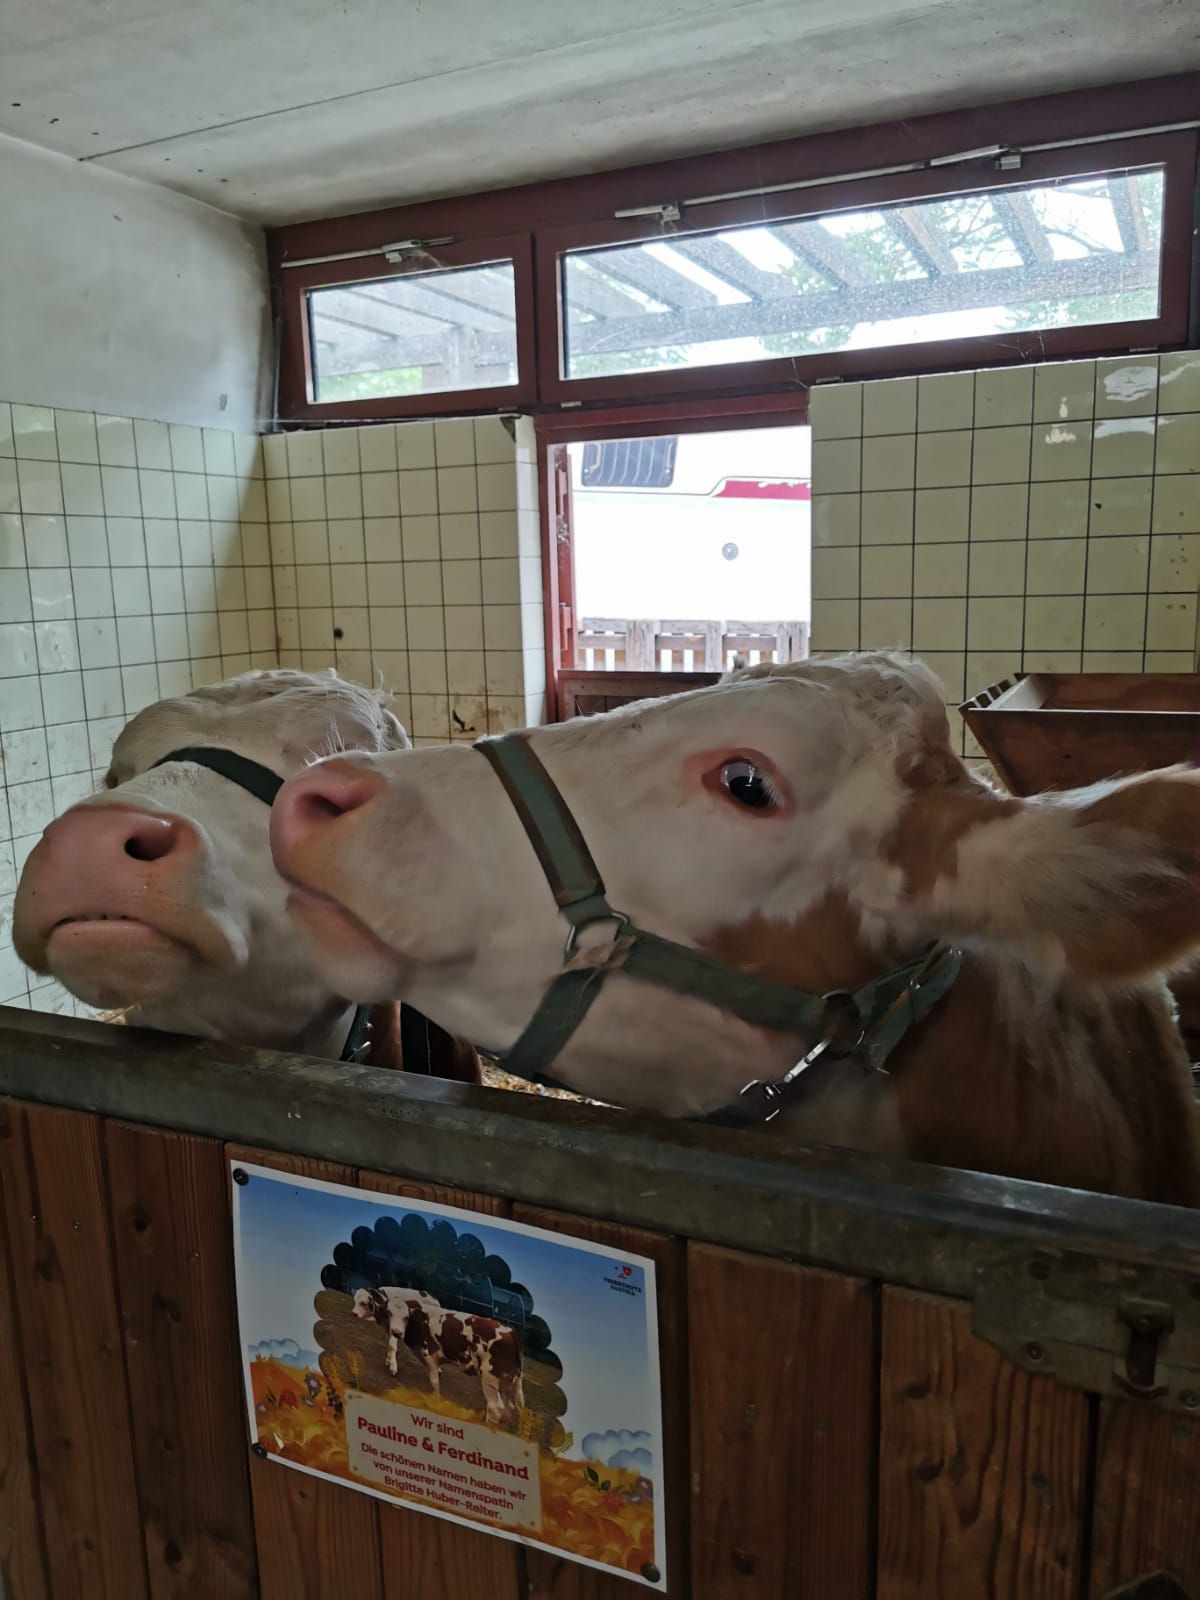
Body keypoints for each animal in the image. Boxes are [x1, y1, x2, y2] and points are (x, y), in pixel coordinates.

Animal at [353, 1285, 525, 1425]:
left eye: (406, 1317)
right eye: (389, 1313)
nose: (396, 1331)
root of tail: (511, 1332)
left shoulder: (430, 1356)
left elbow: (434, 1382)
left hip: (490, 1378)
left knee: (495, 1408)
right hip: (506, 1381)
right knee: (508, 1409)